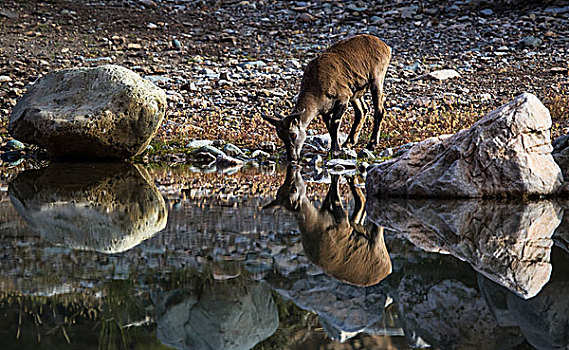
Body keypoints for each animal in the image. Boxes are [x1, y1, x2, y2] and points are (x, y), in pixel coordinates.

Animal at [262, 34, 390, 163]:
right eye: (281, 136)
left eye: (293, 134)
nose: (292, 158)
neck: (317, 87)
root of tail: (385, 46)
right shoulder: (326, 110)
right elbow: (329, 127)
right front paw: (336, 148)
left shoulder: (343, 99)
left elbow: (334, 123)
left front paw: (335, 151)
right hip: (355, 92)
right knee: (362, 111)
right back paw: (349, 142)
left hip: (377, 79)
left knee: (379, 110)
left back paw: (372, 144)